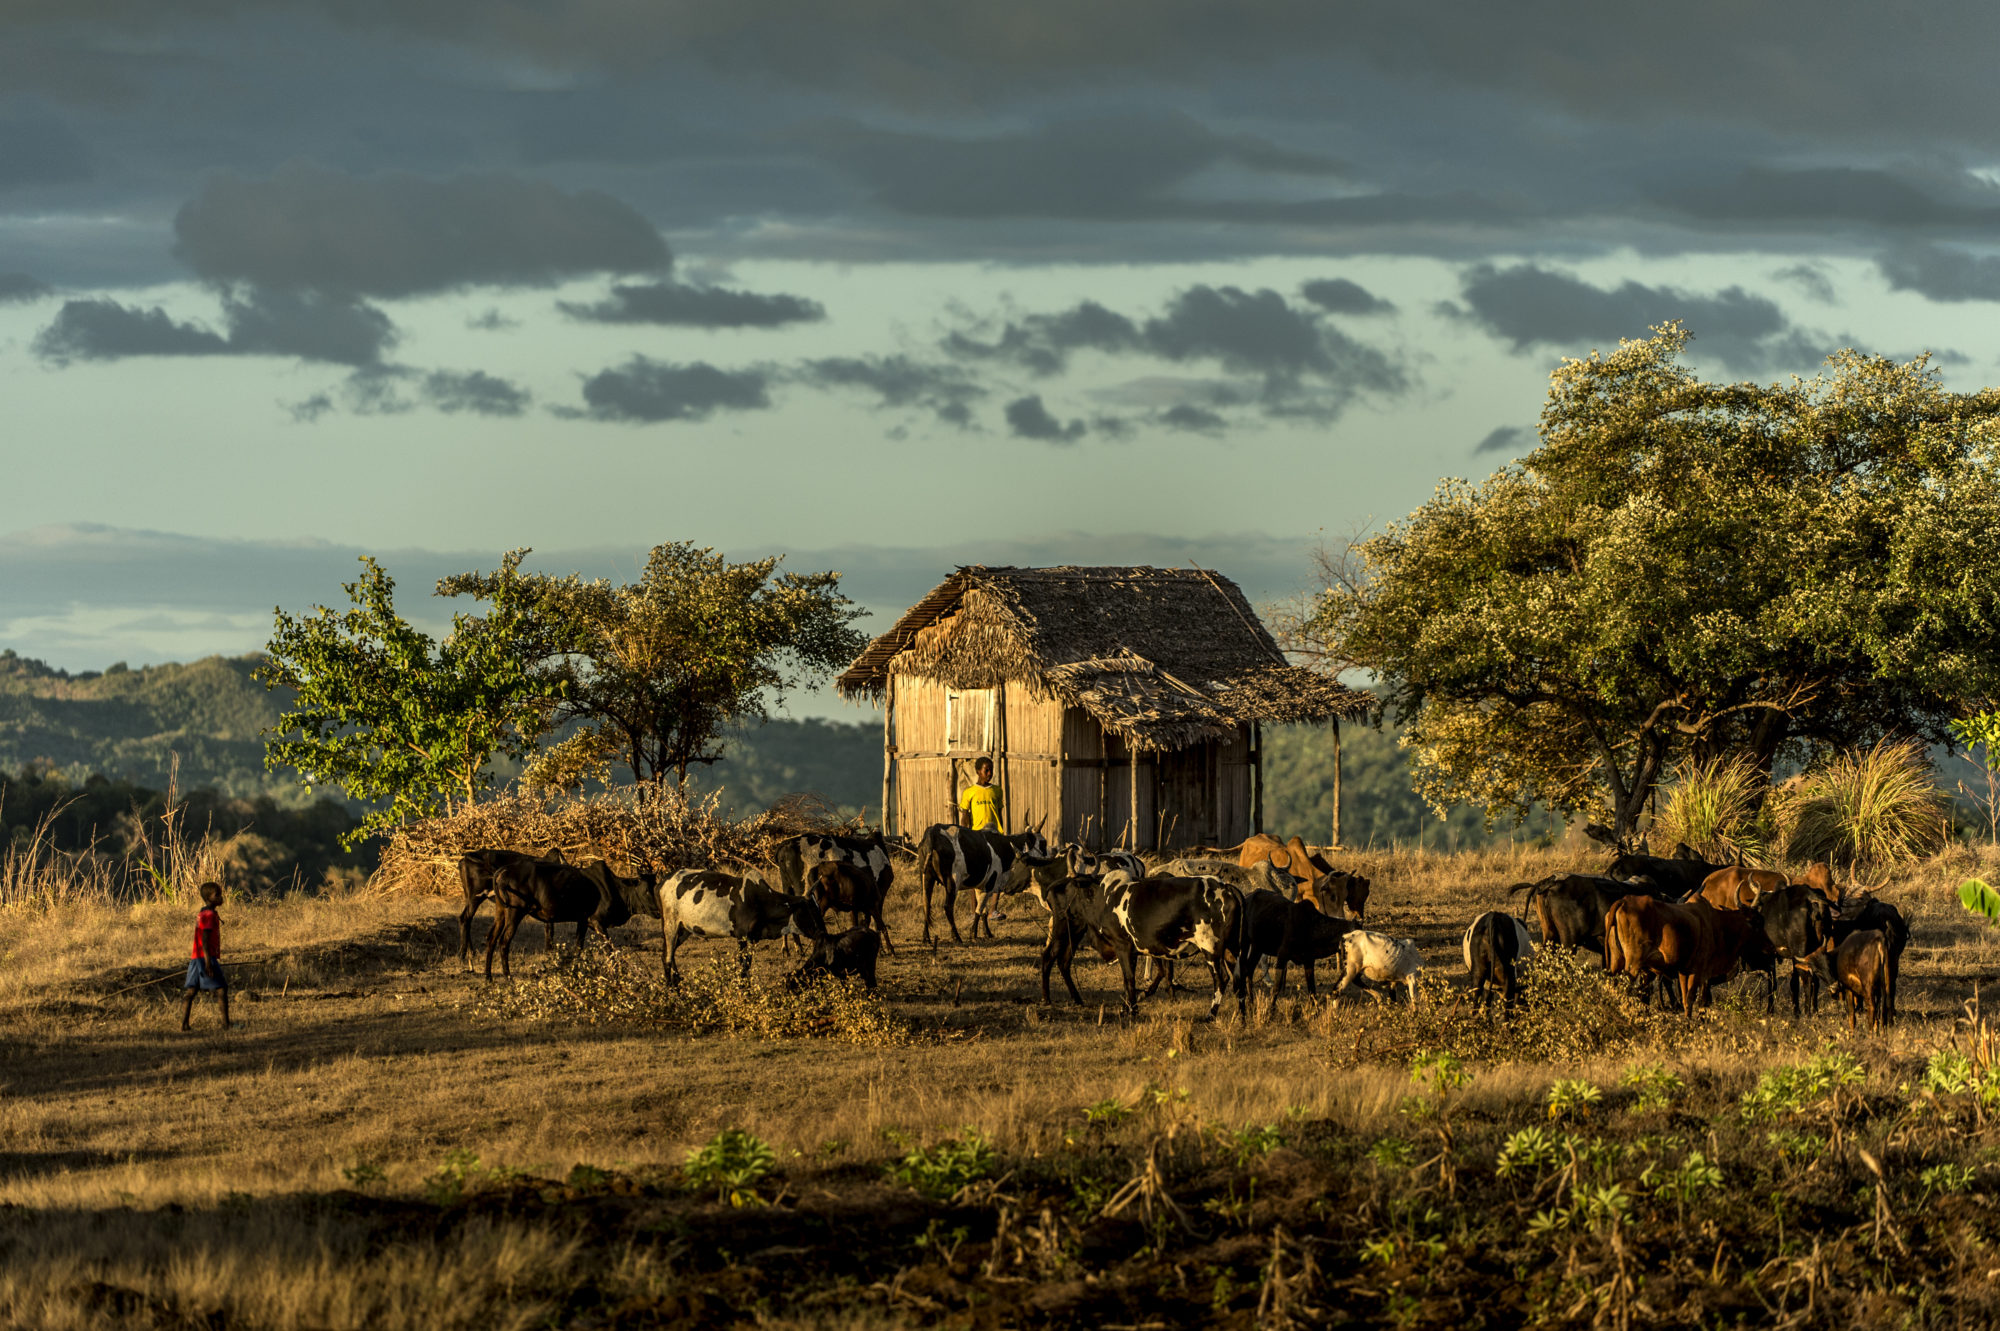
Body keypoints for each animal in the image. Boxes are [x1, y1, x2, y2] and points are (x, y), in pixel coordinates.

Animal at [480, 851, 652, 975]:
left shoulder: (582, 921)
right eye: (646, 889)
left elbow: (576, 947)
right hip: (515, 912)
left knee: (491, 938)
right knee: (504, 941)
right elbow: (609, 948)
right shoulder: (597, 922)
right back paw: (508, 977)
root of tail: (502, 872)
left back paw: (488, 977)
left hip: (501, 912)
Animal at [660, 867, 824, 979]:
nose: (823, 932)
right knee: (667, 958)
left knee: (669, 954)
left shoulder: (752, 938)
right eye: (810, 911)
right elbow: (744, 968)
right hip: (670, 925)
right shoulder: (742, 936)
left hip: (684, 930)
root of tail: (663, 881)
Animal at [912, 819, 1056, 943]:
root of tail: (933, 831)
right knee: (948, 907)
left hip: (926, 878)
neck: (1004, 846)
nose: (1049, 860)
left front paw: (987, 933)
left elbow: (983, 911)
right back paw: (956, 936)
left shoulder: (981, 886)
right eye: (1043, 843)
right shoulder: (990, 883)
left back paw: (926, 937)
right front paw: (973, 933)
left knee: (926, 905)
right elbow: (979, 909)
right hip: (952, 881)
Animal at [1040, 871, 1240, 1015]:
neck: (1104, 896)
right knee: (1054, 958)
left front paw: (1133, 1007)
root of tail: (1226, 887)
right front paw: (1131, 1005)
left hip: (1212, 949)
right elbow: (1135, 978)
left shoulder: (1128, 947)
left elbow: (1133, 978)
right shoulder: (1135, 949)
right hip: (1066, 929)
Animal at [1600, 891, 1776, 1015]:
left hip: (1618, 962)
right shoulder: (1699, 972)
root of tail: (1623, 901)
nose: (1771, 948)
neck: (1717, 923)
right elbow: (1695, 1001)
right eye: (1757, 922)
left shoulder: (1683, 971)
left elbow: (1686, 1000)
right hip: (1633, 964)